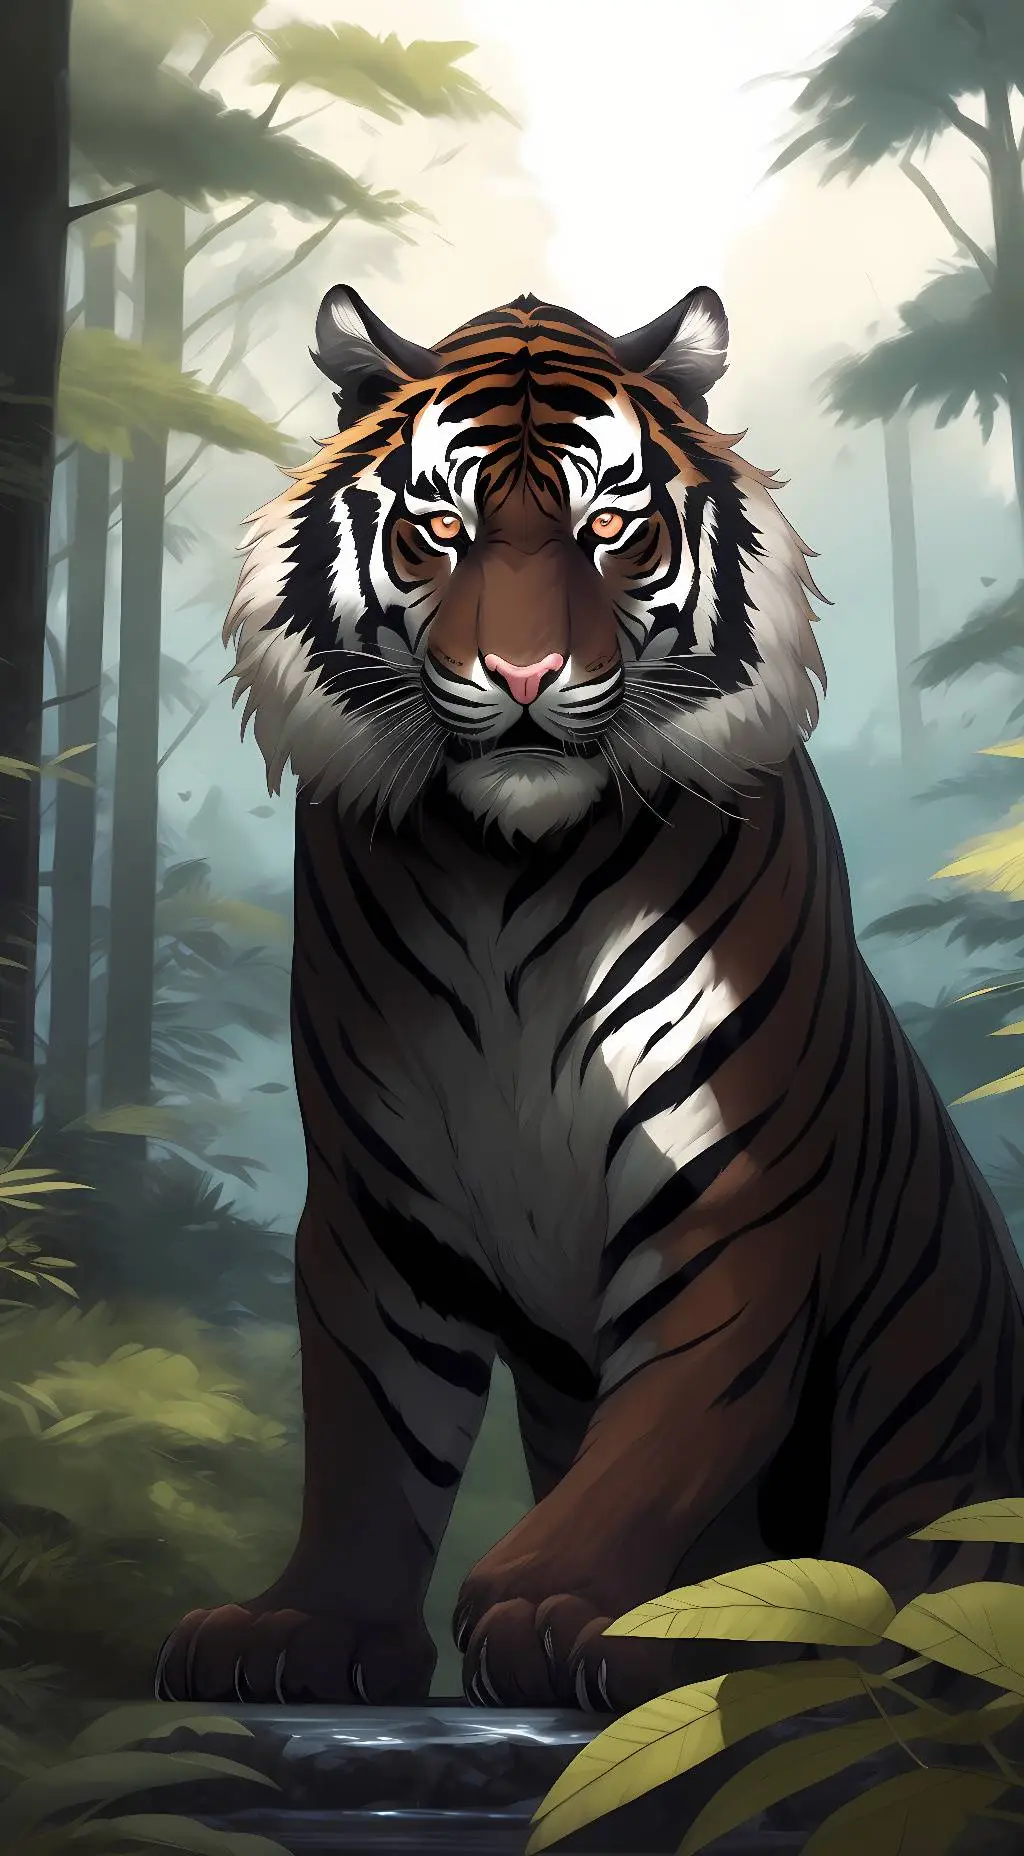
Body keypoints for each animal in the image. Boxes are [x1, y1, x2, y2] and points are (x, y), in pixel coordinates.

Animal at [155, 282, 1024, 1715]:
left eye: (607, 527)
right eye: (441, 528)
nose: (521, 677)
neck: (509, 868)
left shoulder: (730, 1180)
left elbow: (666, 1423)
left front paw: (567, 1611)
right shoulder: (377, 1201)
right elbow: (368, 1423)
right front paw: (305, 1625)